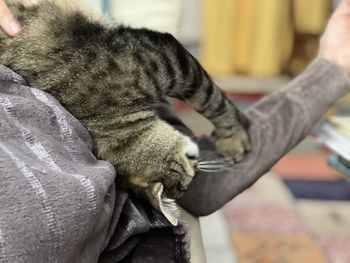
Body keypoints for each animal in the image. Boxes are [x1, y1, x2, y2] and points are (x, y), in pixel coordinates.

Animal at [0, 0, 252, 226]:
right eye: (187, 180)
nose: (200, 168)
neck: (109, 118)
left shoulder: (170, 58)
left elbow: (211, 99)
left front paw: (234, 139)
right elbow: (209, 96)